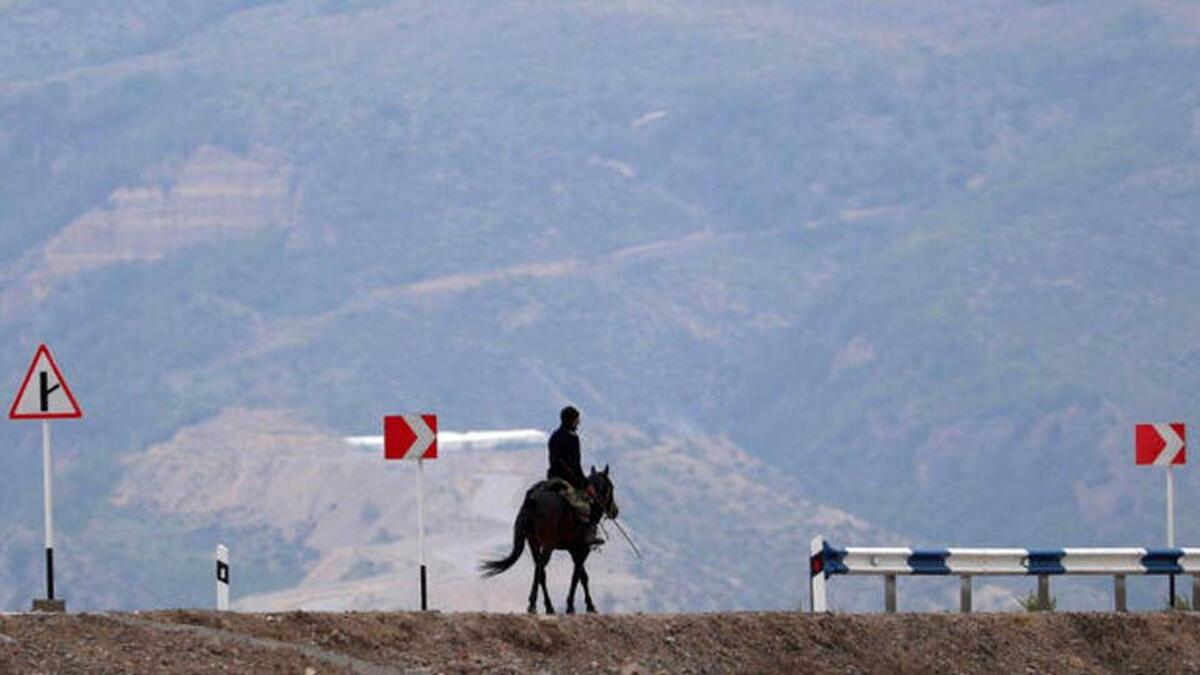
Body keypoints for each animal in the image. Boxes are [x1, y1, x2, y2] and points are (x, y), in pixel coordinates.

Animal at [480, 466, 619, 612]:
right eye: (611, 486)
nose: (615, 511)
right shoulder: (583, 549)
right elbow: (577, 576)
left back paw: (546, 606)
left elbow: (582, 575)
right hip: (548, 545)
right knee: (540, 569)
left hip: (533, 543)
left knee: (540, 571)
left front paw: (585, 605)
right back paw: (535, 605)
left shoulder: (573, 550)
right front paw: (576, 606)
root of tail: (532, 501)